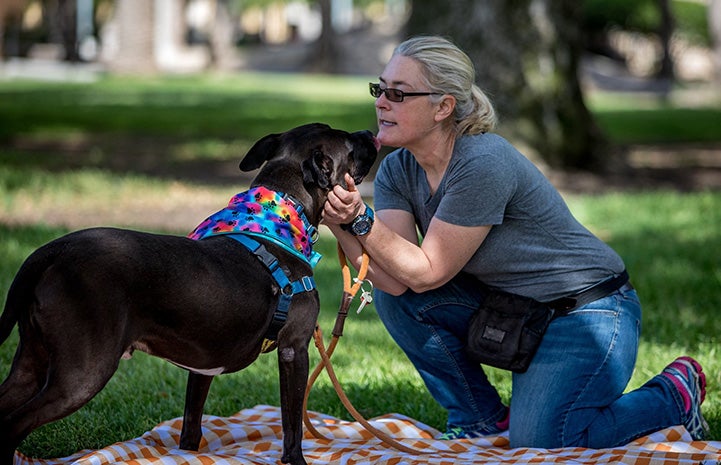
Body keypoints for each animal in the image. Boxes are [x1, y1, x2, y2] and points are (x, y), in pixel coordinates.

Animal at [0, 123, 380, 464]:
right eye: (349, 144)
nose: (370, 133)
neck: (281, 214)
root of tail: (54, 250)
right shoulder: (294, 349)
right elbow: (292, 426)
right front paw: (296, 460)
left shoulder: (202, 364)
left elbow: (191, 426)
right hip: (82, 372)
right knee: (14, 423)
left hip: (31, 362)